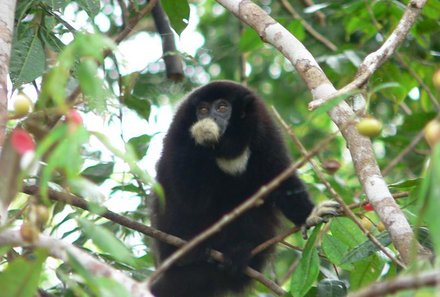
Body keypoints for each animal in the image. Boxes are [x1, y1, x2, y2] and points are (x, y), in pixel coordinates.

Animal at [150, 80, 338, 294]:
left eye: (222, 107)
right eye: (203, 110)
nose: (211, 117)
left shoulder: (264, 129)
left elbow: (280, 179)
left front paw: (309, 215)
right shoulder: (179, 130)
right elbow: (186, 194)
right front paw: (202, 133)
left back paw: (238, 252)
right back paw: (189, 252)